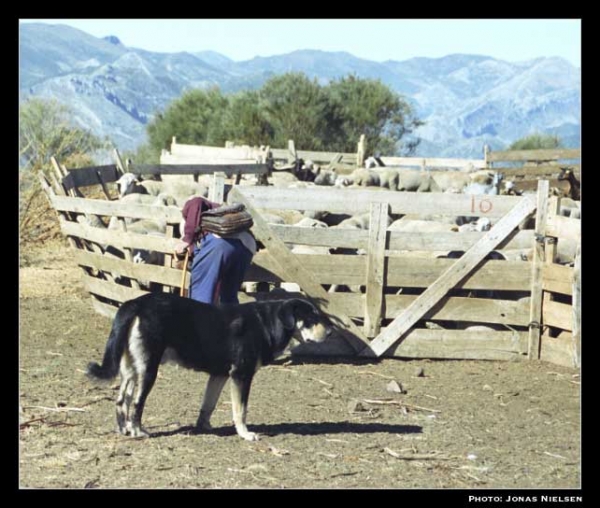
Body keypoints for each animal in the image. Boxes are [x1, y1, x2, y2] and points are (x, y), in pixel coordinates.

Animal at [86, 294, 332, 440]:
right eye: (312, 318)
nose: (330, 332)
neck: (266, 323)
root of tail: (136, 302)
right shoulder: (241, 375)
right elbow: (240, 410)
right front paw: (245, 434)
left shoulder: (219, 375)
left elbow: (208, 405)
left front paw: (204, 426)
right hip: (148, 370)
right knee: (137, 402)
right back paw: (137, 431)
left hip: (131, 369)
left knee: (122, 400)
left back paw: (124, 429)